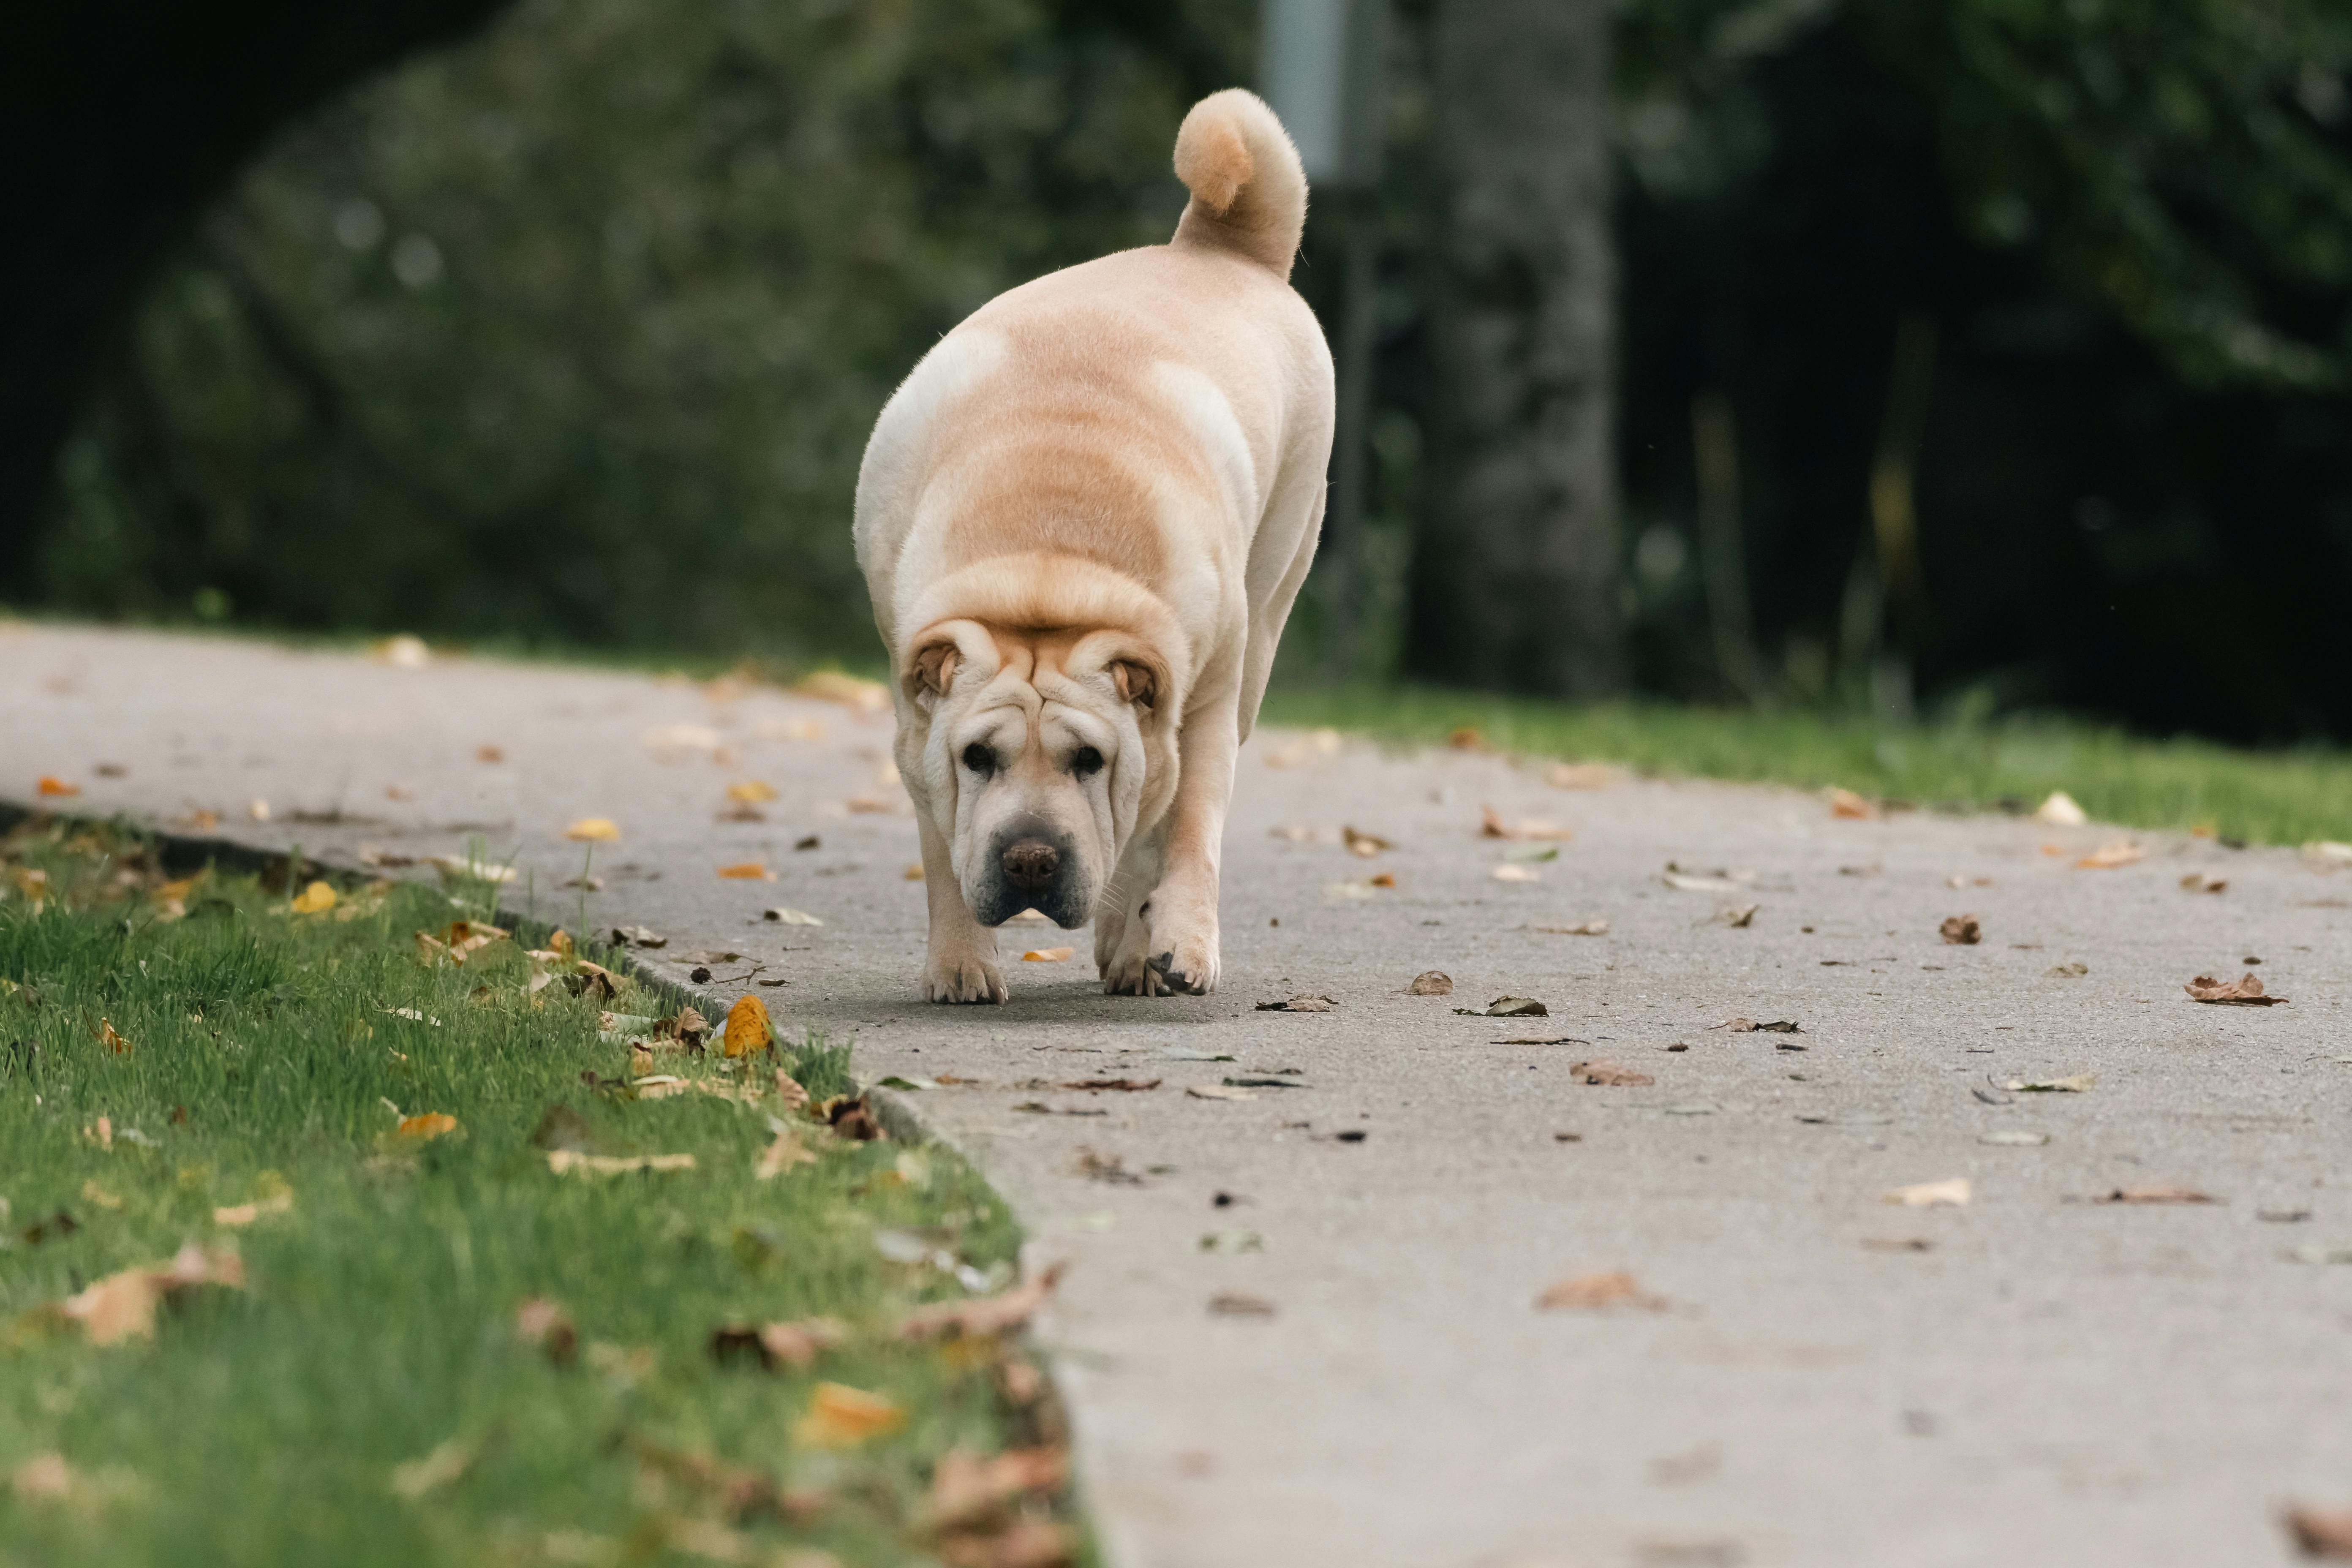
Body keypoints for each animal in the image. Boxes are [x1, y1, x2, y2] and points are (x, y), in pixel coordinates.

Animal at [856, 89, 1336, 1006]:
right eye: (977, 757)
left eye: (1088, 759)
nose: (1031, 857)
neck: (1049, 572)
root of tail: (1216, 243)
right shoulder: (915, 727)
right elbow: (942, 845)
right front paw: (961, 963)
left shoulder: (1202, 704)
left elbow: (1185, 829)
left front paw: (1179, 942)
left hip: (1266, 616)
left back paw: (1135, 948)